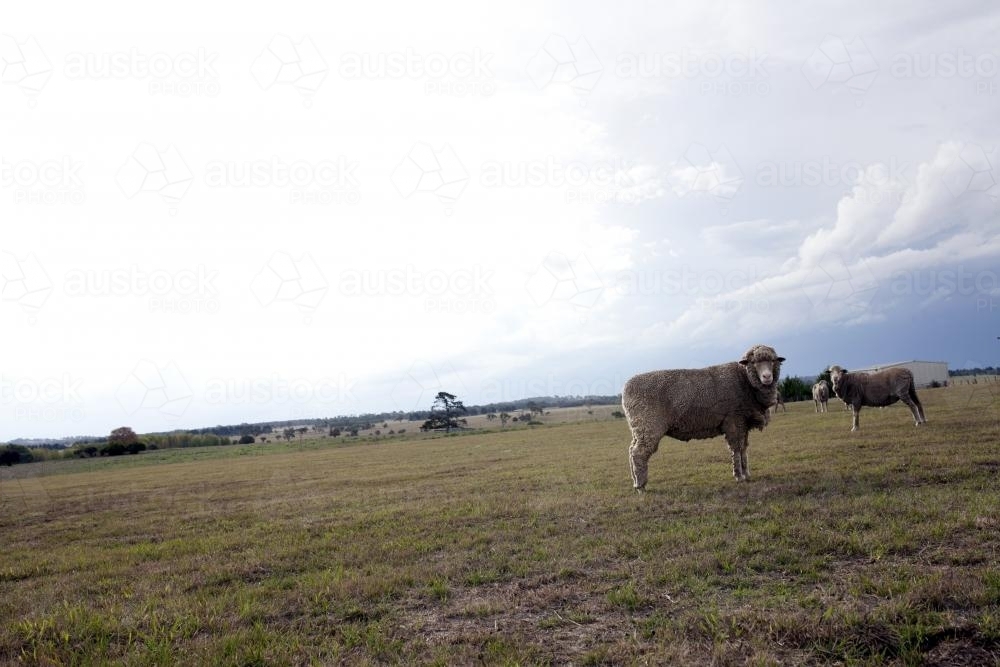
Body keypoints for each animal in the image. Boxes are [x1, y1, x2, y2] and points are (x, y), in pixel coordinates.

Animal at [620, 344, 784, 490]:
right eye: (754, 362)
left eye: (773, 360)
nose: (767, 377)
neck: (744, 379)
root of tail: (626, 389)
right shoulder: (733, 420)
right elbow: (736, 449)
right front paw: (739, 477)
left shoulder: (743, 423)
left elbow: (744, 448)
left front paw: (747, 474)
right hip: (649, 425)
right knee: (638, 453)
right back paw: (641, 486)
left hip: (639, 428)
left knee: (631, 450)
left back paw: (635, 481)